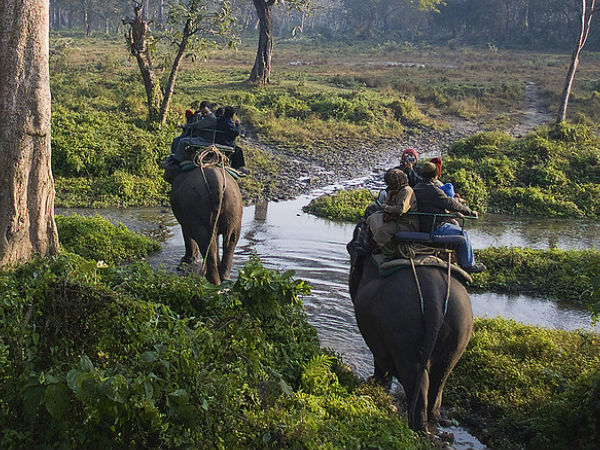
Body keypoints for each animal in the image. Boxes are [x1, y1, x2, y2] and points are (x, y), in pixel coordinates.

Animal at [346, 239, 474, 432]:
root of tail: (434, 298)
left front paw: (374, 382)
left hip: (402, 328)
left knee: (414, 377)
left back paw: (416, 427)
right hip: (460, 327)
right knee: (441, 376)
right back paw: (432, 419)